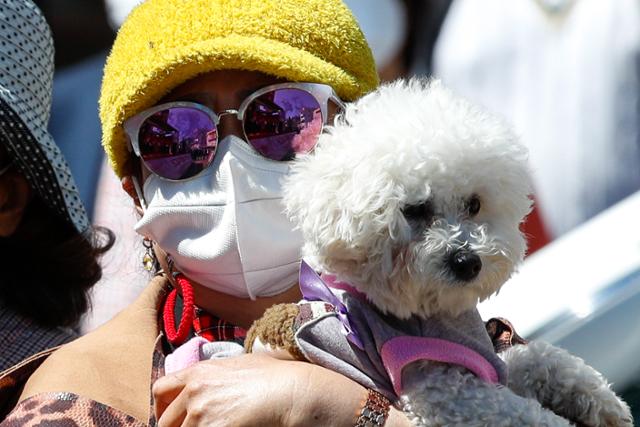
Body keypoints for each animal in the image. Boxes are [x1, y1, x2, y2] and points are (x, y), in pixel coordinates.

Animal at [249, 78, 632, 426]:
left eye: (474, 204)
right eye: (415, 209)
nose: (467, 262)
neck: (430, 314)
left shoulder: (488, 360)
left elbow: (536, 356)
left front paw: (598, 397)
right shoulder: (445, 391)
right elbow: (523, 414)